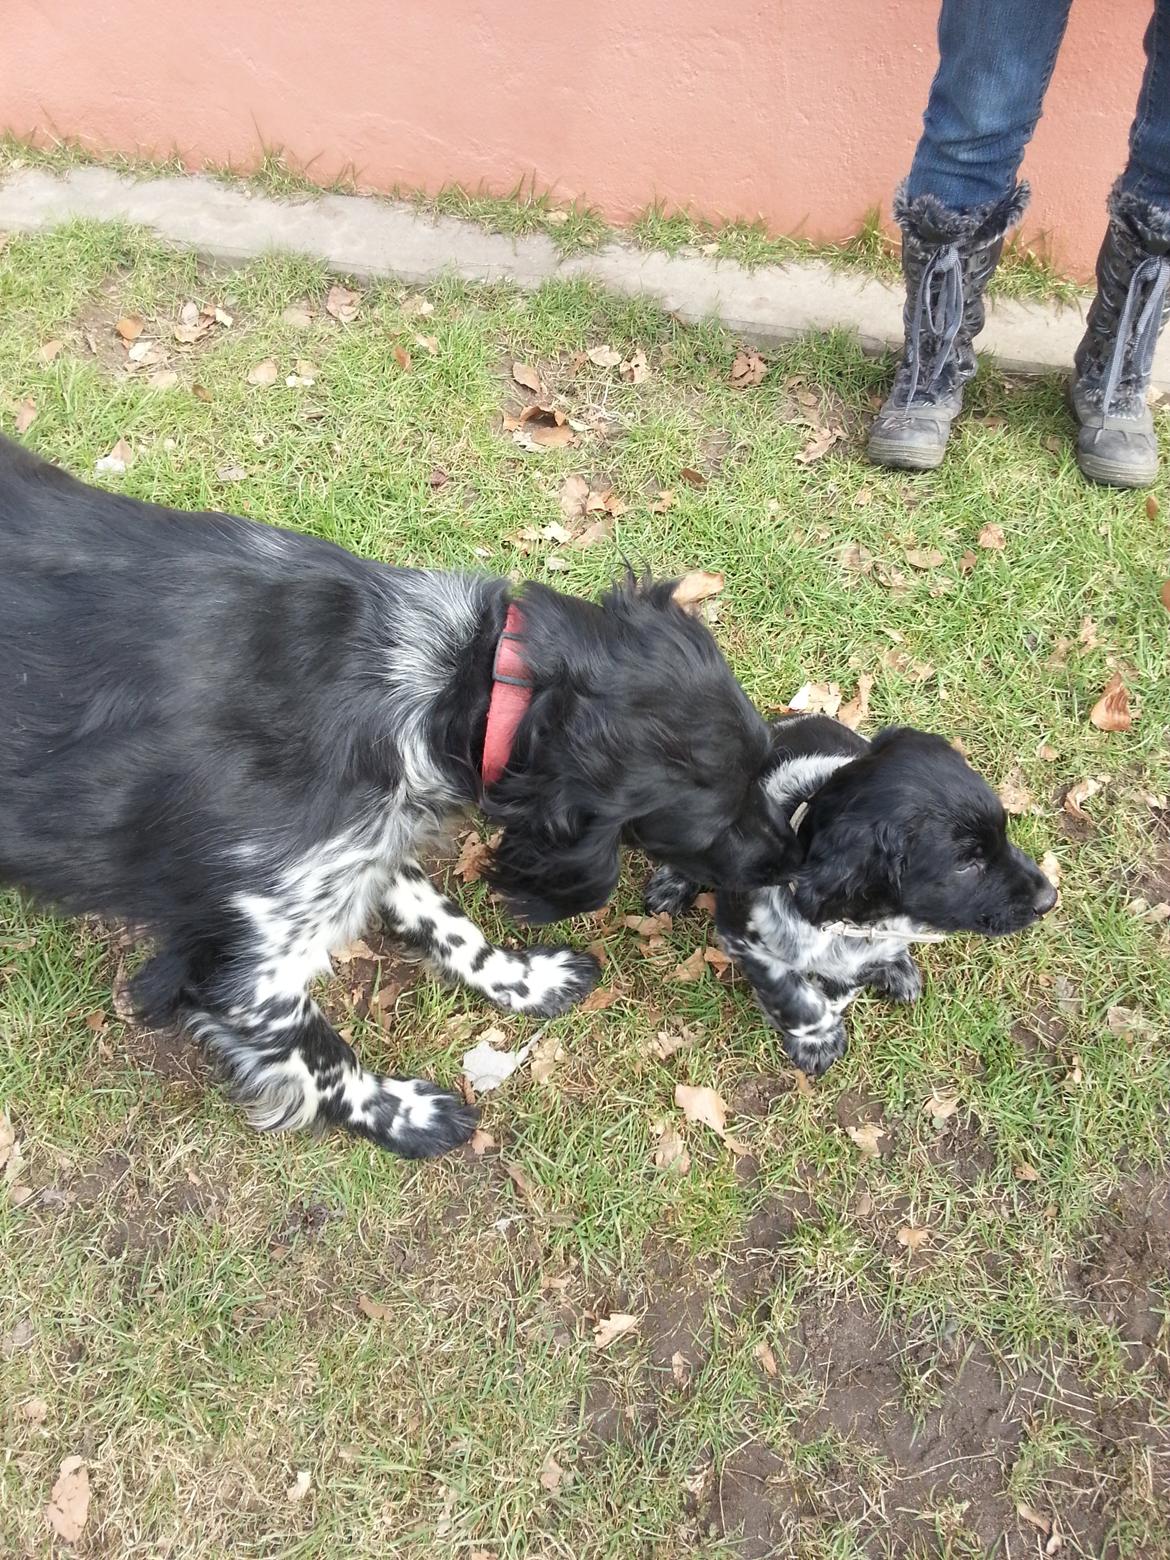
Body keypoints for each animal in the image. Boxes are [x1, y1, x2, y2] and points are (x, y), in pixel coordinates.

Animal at [0, 439, 798, 1160]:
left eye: (768, 765)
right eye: (715, 824)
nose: (790, 859)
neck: (451, 679)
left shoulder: (369, 836)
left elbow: (442, 916)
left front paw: (523, 980)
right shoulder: (237, 964)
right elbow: (321, 1055)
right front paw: (406, 1116)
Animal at [645, 714, 1060, 1073]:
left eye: (1003, 833)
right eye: (965, 864)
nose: (1049, 900)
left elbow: (839, 988)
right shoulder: (743, 937)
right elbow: (794, 997)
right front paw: (816, 1038)